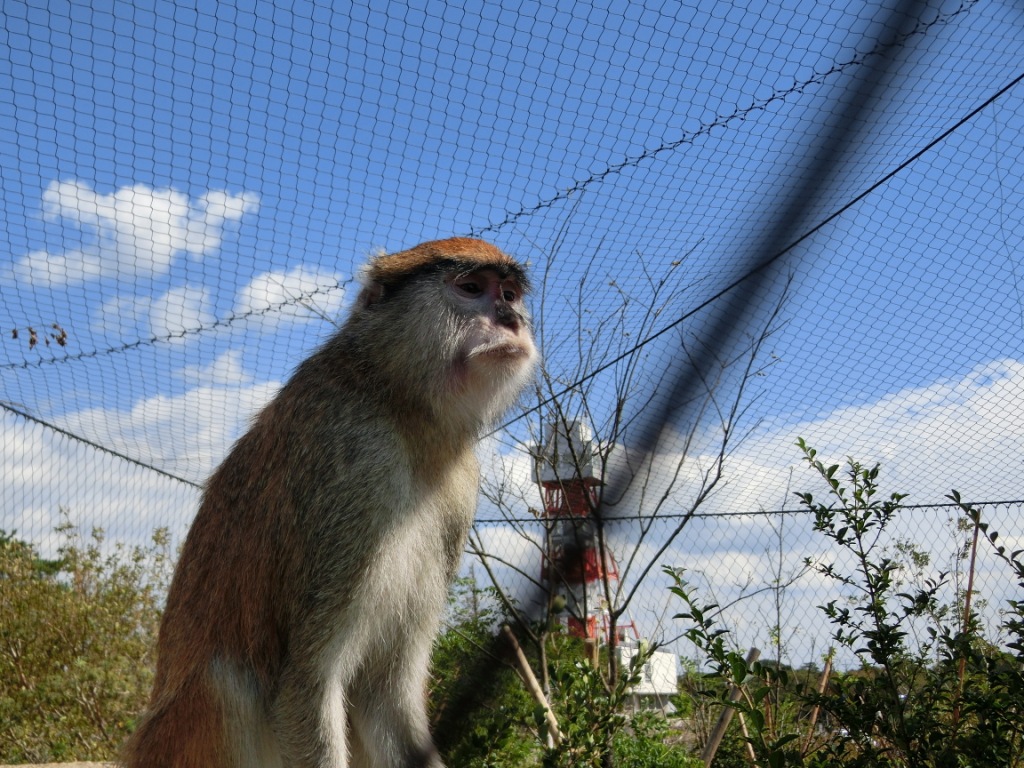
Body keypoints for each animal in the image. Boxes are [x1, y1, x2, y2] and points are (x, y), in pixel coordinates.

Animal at [120, 239, 540, 768]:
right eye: (470, 288)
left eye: (509, 294)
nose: (512, 319)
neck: (397, 397)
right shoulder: (352, 459)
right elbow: (306, 684)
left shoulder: (460, 486)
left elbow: (384, 694)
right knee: (226, 680)